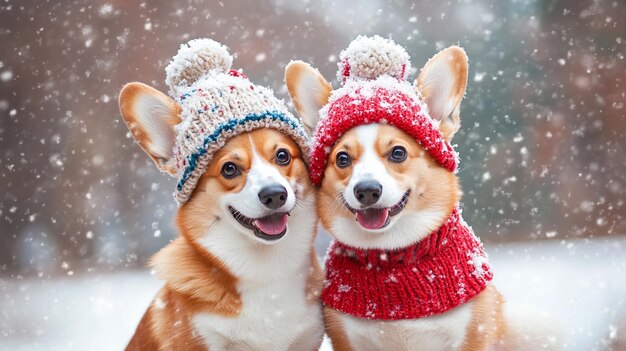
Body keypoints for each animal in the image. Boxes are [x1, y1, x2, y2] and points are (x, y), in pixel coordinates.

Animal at [286, 35, 560, 350]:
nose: (366, 190)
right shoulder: (348, 340)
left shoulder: (472, 334)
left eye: (398, 152)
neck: (393, 254)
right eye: (342, 159)